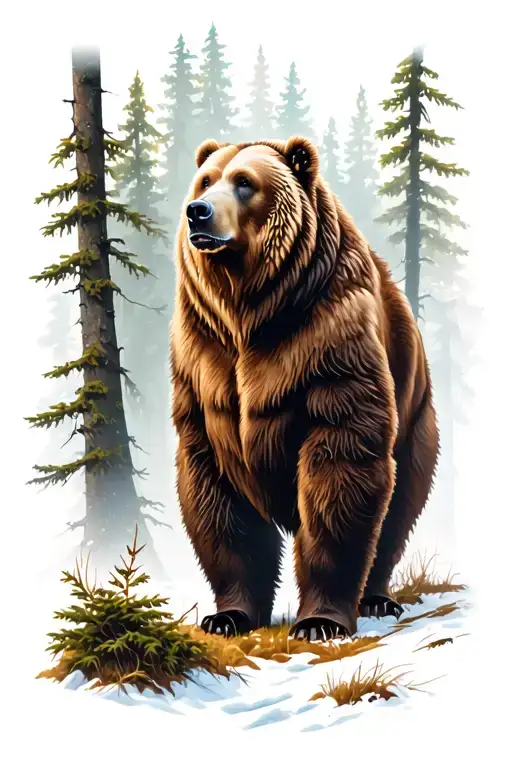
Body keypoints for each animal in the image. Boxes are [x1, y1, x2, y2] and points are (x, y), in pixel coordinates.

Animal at [170, 135, 440, 642]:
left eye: (244, 182)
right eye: (205, 180)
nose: (199, 212)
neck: (252, 310)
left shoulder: (328, 335)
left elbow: (342, 462)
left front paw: (319, 621)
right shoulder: (203, 360)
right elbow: (216, 493)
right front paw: (227, 615)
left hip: (416, 417)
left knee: (398, 508)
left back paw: (377, 598)